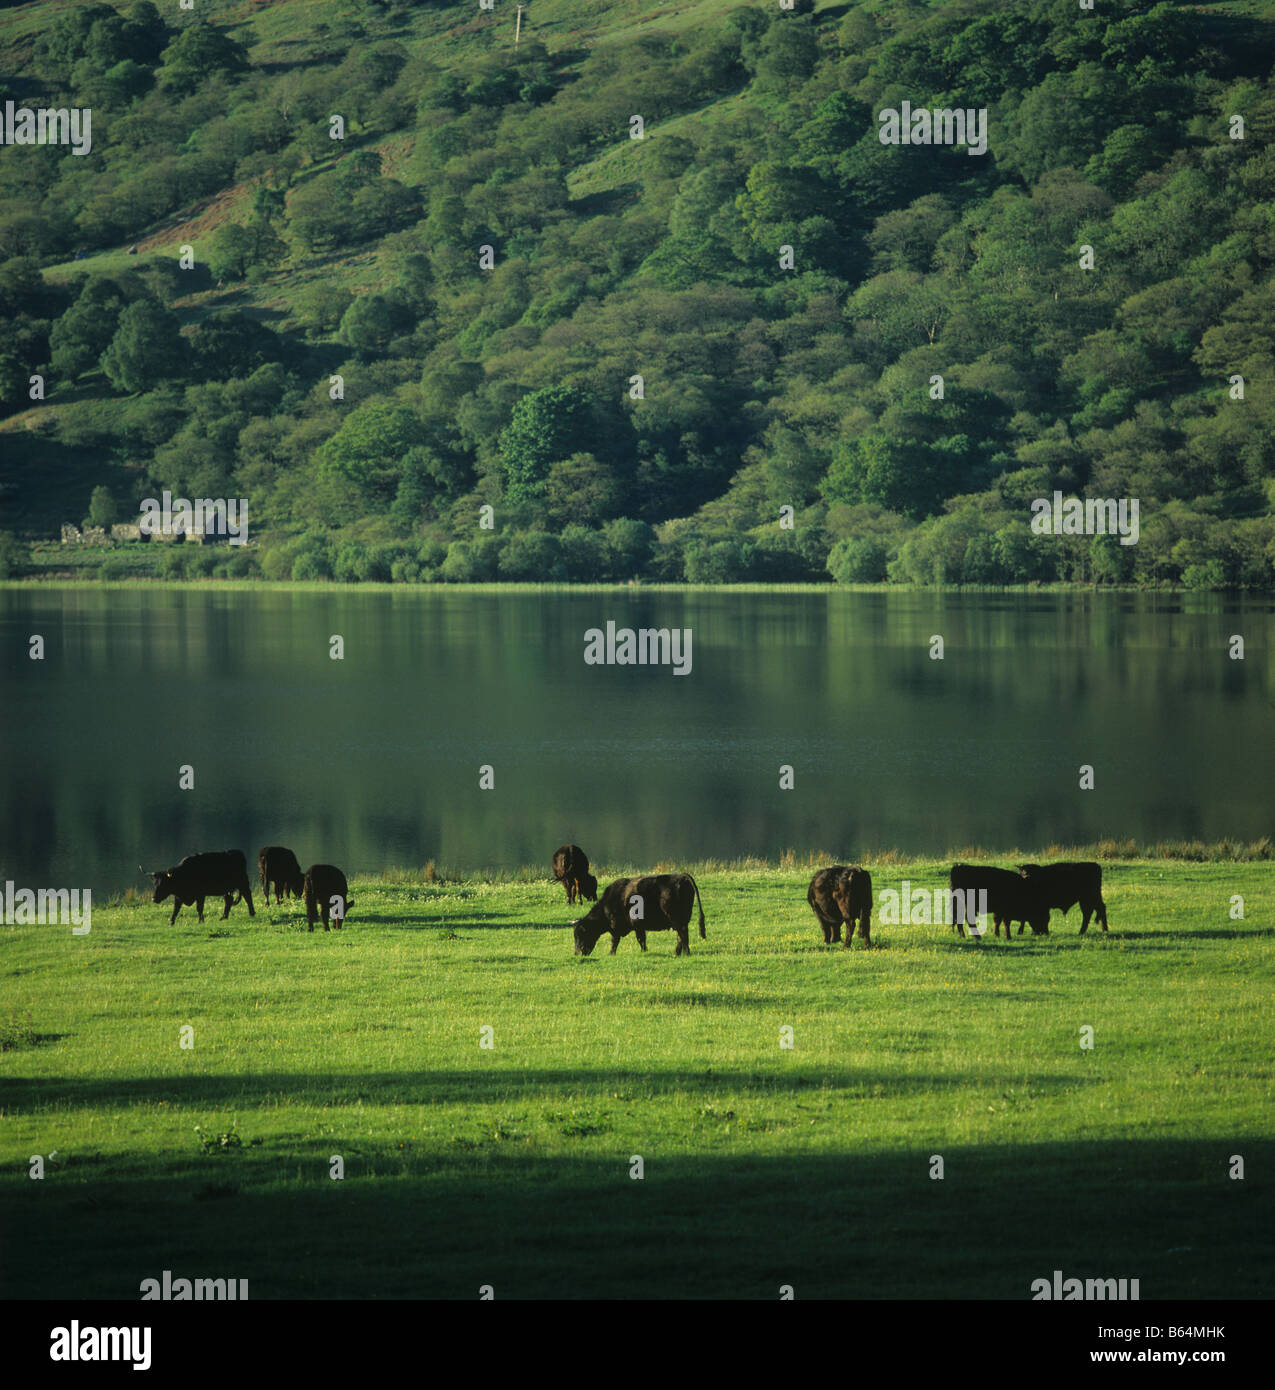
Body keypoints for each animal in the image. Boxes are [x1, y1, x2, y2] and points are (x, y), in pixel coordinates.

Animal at [570, 872, 700, 961]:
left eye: (581, 935)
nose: (576, 953)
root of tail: (681, 876)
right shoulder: (636, 926)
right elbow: (640, 939)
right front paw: (644, 951)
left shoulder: (621, 927)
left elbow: (617, 941)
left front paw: (612, 953)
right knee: (680, 936)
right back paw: (677, 953)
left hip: (677, 920)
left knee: (683, 935)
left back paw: (686, 952)